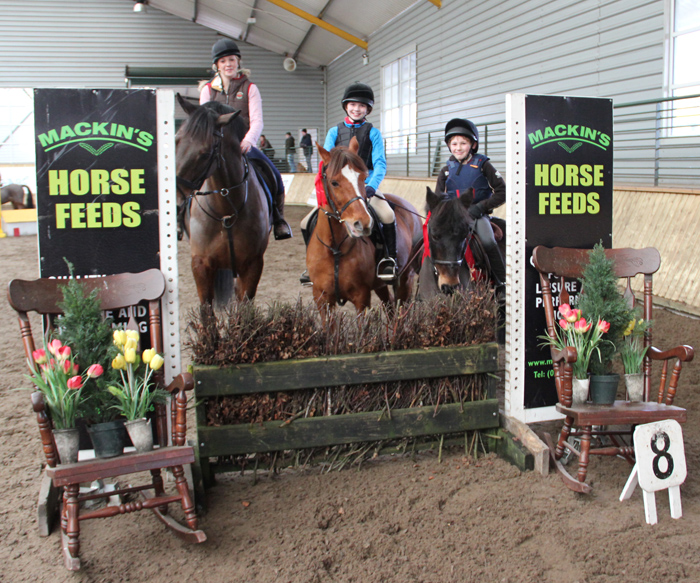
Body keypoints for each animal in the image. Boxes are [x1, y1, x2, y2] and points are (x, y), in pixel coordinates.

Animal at [175, 96, 270, 306]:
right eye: (176, 140)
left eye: (204, 153)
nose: (175, 202)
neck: (226, 209)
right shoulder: (201, 265)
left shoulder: (253, 265)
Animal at [306, 139, 422, 314]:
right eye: (334, 182)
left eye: (364, 178)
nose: (363, 223)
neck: (335, 248)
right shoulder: (321, 299)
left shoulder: (361, 298)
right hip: (381, 285)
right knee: (389, 306)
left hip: (406, 277)